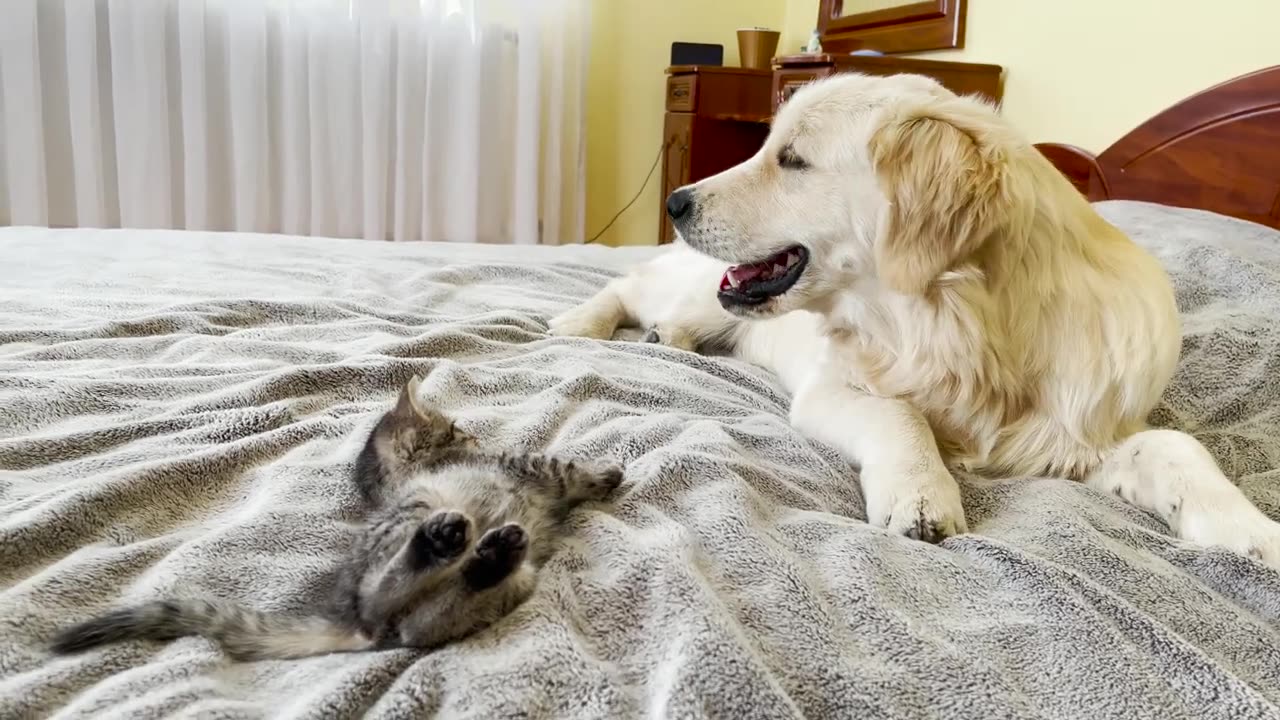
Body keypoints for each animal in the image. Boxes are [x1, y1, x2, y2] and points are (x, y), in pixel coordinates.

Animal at [52, 379, 622, 661]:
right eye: (457, 430)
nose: (475, 434)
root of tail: (352, 624)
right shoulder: (527, 466)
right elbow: (566, 466)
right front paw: (609, 473)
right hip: (414, 523)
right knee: (386, 593)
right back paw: (442, 542)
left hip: (513, 582)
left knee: (427, 621)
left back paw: (491, 553)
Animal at [550, 73, 1280, 566]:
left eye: (792, 159)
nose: (675, 201)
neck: (960, 331)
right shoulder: (832, 389)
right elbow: (900, 414)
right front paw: (923, 495)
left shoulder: (1080, 435)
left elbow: (1179, 447)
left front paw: (1249, 532)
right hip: (699, 288)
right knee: (625, 287)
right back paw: (578, 324)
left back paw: (665, 338)